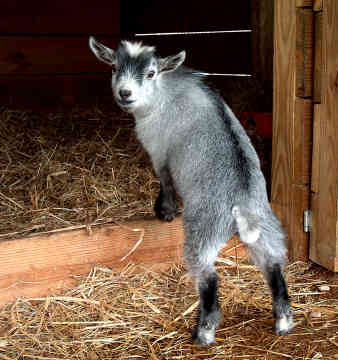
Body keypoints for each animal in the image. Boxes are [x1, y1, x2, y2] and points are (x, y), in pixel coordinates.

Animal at [89, 37, 294, 346]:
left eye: (150, 73)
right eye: (114, 67)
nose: (125, 93)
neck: (163, 92)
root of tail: (242, 204)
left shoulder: (158, 149)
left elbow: (165, 179)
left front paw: (165, 210)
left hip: (203, 231)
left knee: (208, 277)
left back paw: (203, 332)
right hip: (267, 227)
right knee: (273, 264)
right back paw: (283, 321)